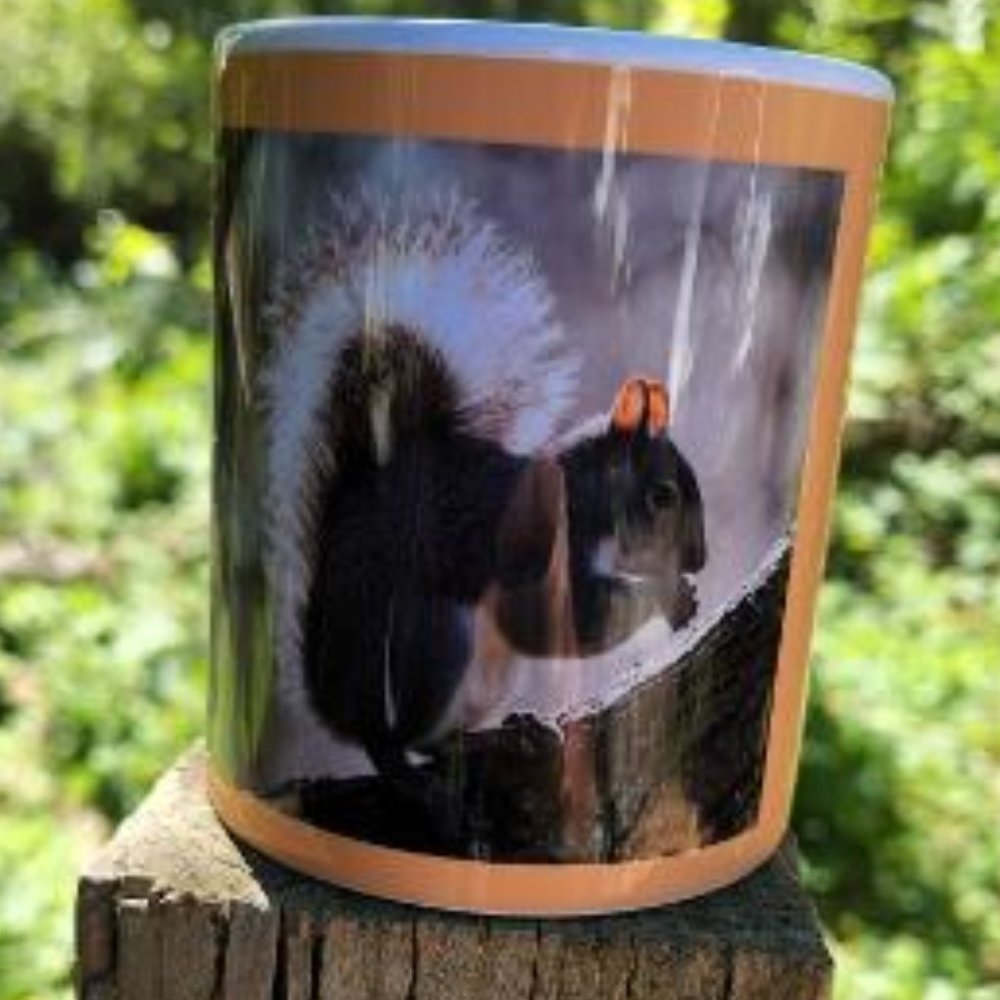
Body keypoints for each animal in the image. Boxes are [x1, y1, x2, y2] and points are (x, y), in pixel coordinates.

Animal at [261, 188, 707, 802]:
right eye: (662, 496)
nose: (700, 559)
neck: (583, 490)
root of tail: (339, 707)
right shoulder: (543, 547)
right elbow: (556, 618)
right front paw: (669, 595)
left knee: (438, 737)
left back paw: (504, 733)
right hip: (432, 641)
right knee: (391, 742)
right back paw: (408, 770)